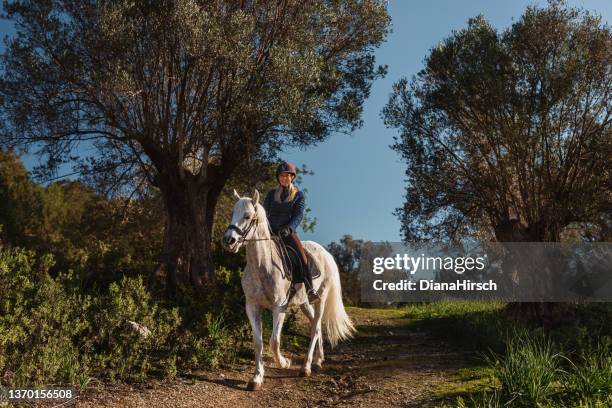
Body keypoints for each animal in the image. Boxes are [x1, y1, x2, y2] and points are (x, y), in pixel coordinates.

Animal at [224, 190, 356, 390]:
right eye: (233, 214)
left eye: (247, 216)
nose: (229, 240)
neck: (262, 266)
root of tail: (327, 254)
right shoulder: (252, 307)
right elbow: (258, 342)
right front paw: (256, 378)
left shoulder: (279, 308)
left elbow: (274, 341)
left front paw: (285, 363)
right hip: (304, 303)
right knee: (316, 327)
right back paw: (318, 360)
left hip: (321, 299)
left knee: (315, 327)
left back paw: (306, 367)